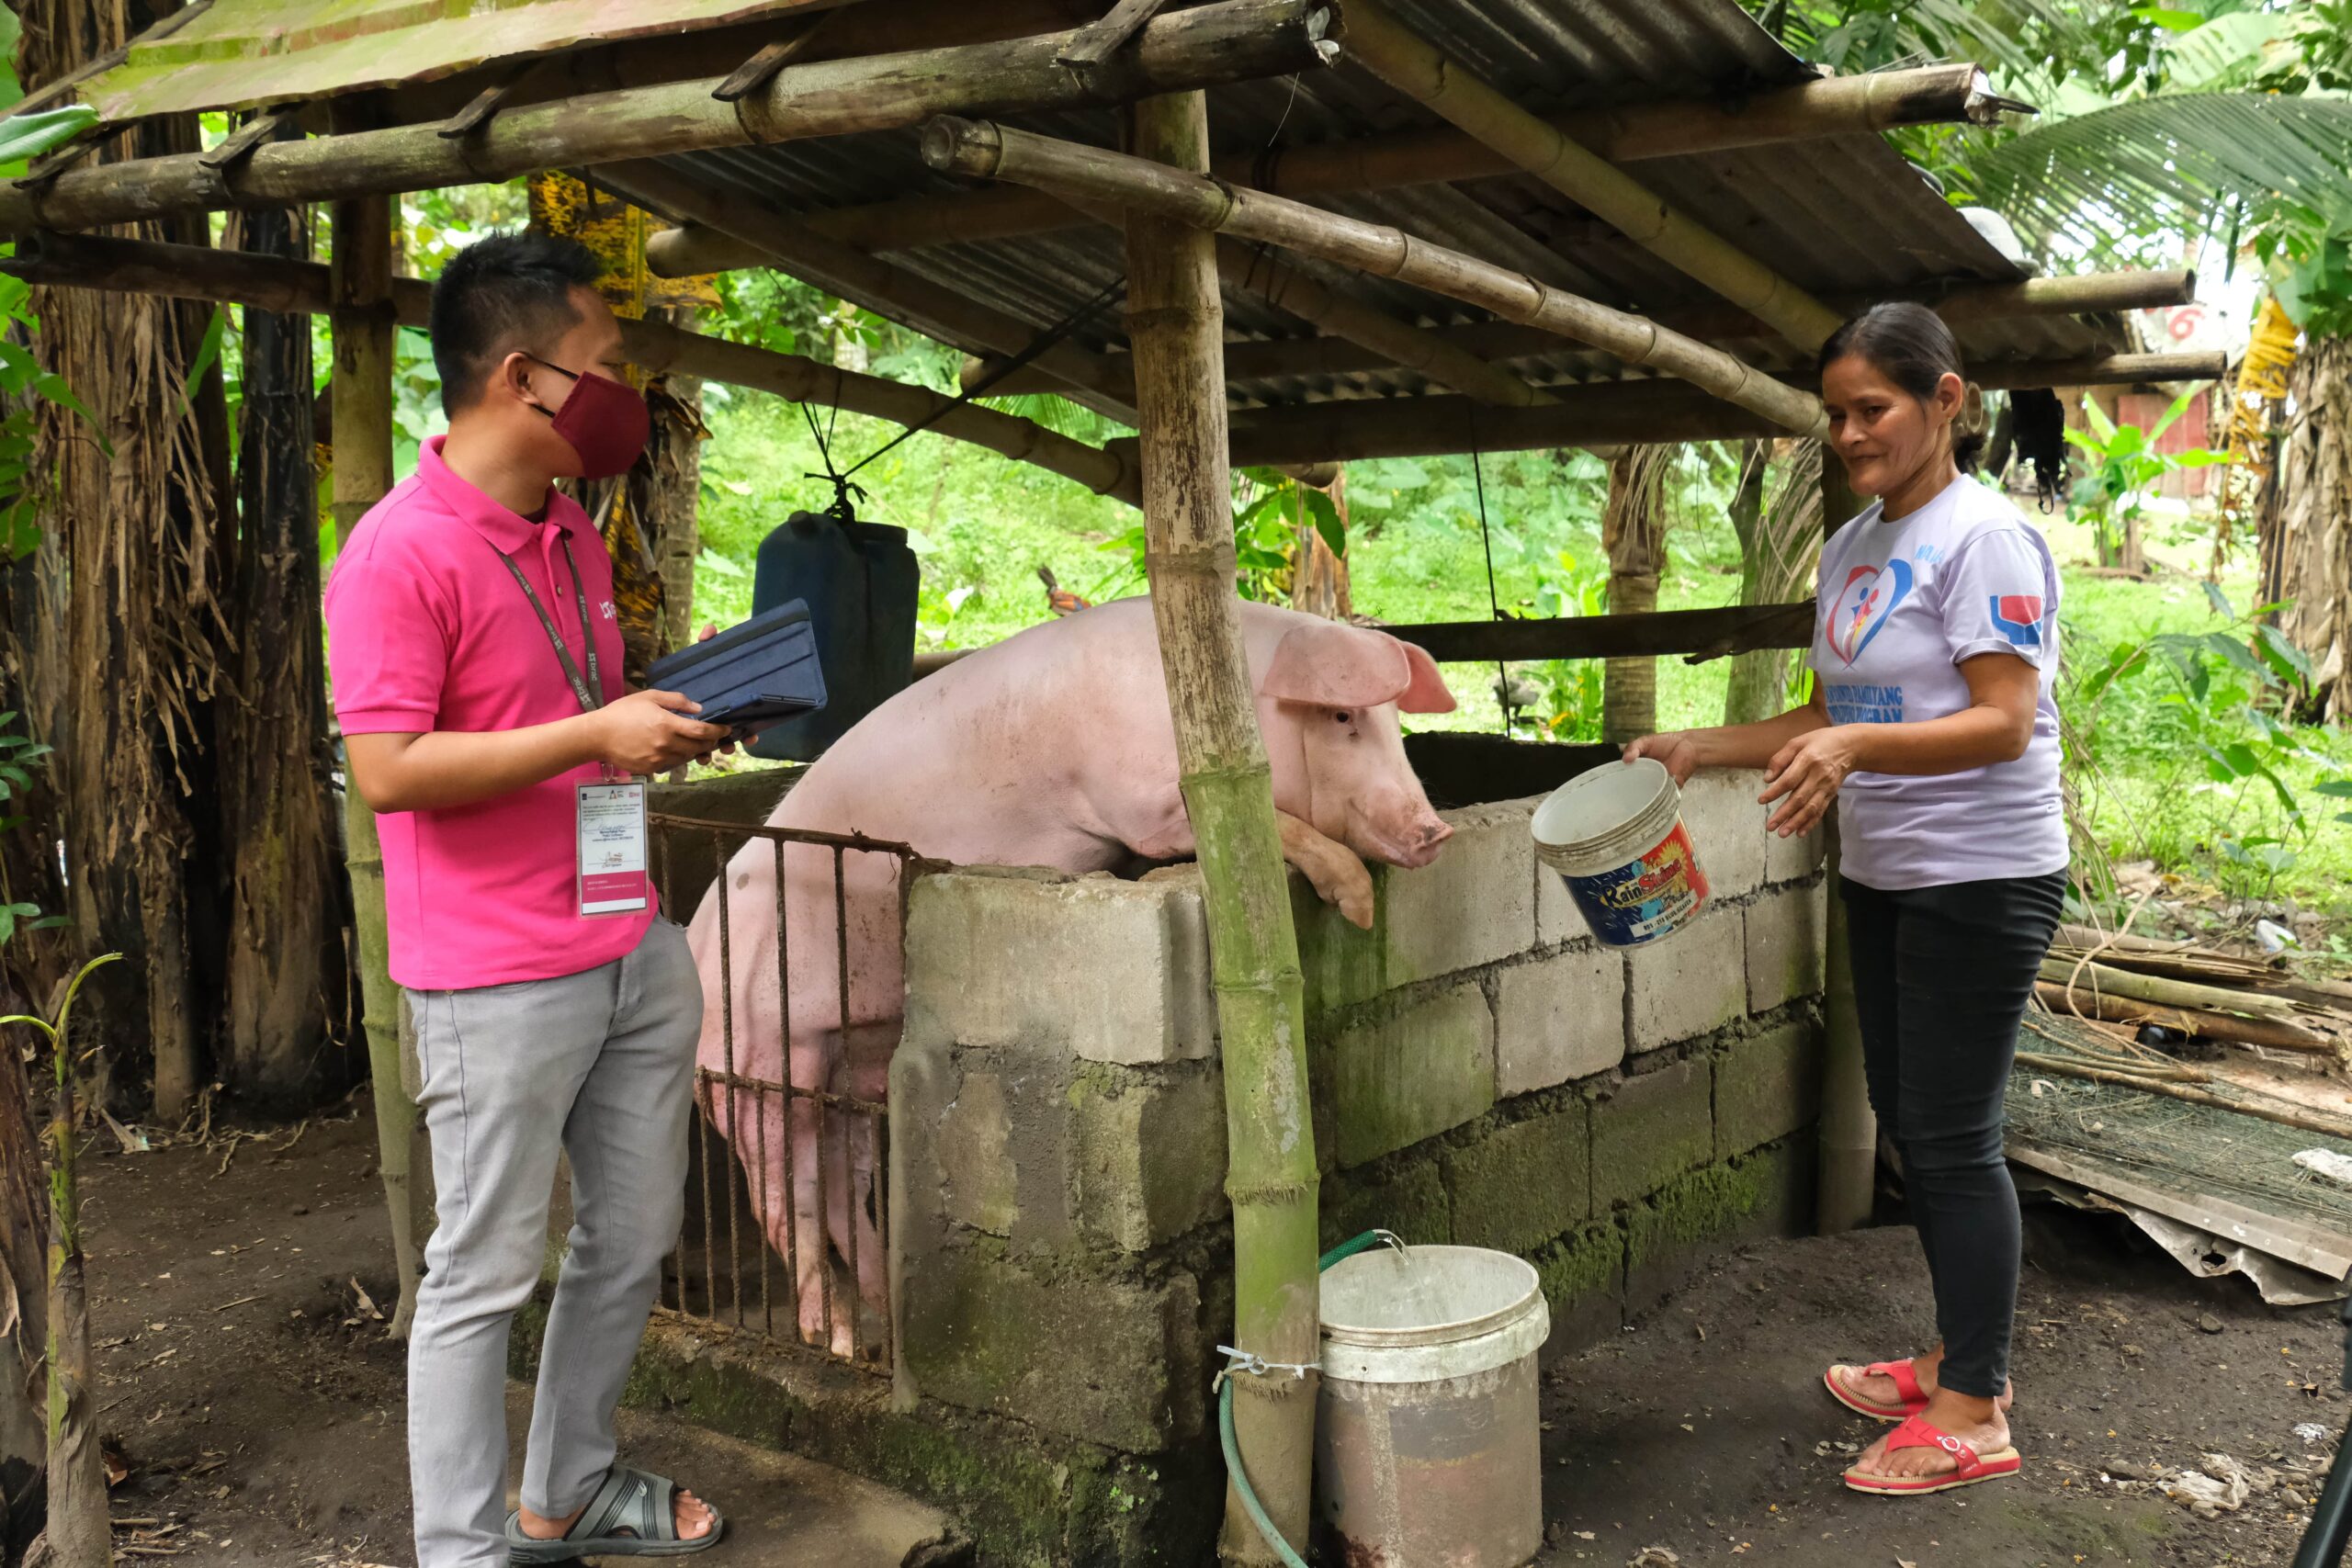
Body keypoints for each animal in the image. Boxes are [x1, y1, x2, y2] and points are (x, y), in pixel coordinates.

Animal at [682, 594, 1448, 1354]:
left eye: (1395, 720)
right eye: (1344, 718)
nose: (1436, 831)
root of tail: (690, 940)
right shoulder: (1151, 804)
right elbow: (1273, 824)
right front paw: (1360, 905)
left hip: (851, 1058)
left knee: (846, 1184)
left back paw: (884, 1323)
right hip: (760, 1061)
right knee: (789, 1198)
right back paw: (838, 1340)